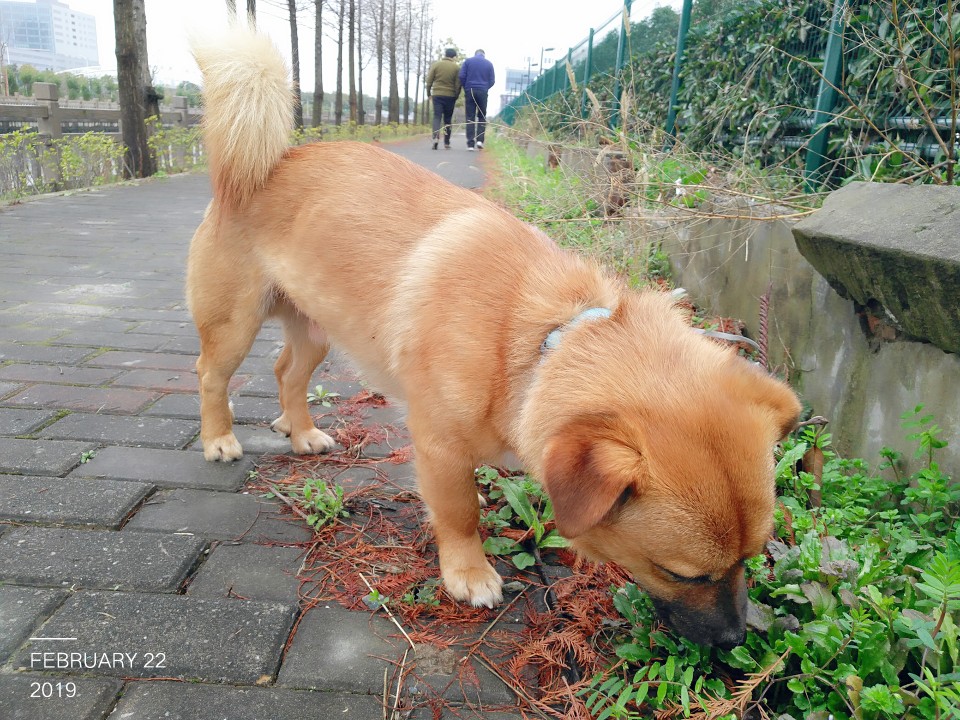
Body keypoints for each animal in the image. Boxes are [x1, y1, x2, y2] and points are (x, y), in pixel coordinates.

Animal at [189, 26, 804, 648]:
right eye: (682, 574)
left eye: (753, 557)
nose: (735, 641)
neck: (543, 338)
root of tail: (273, 159)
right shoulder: (438, 443)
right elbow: (459, 511)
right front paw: (468, 570)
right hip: (233, 325)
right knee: (212, 377)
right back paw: (219, 439)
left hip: (316, 327)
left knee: (286, 372)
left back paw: (299, 430)